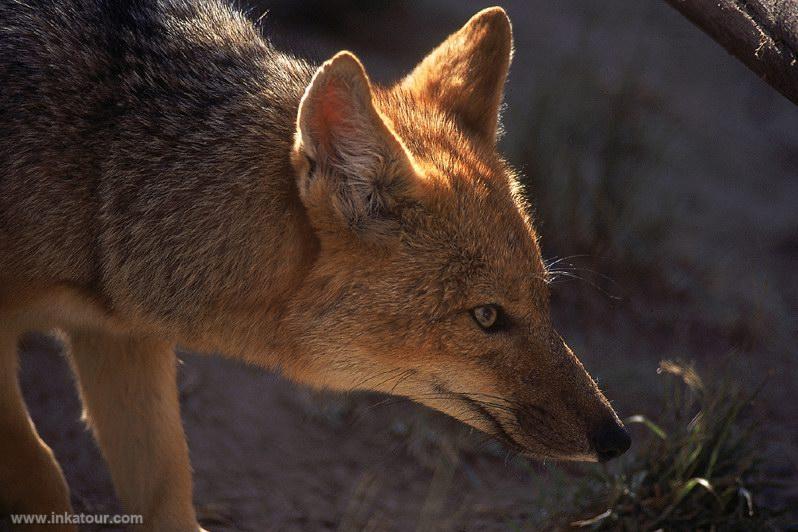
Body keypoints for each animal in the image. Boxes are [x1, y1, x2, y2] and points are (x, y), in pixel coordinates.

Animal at [3, 0, 636, 528]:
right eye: (486, 317)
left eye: (544, 300)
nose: (617, 438)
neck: (103, 179)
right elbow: (44, 475)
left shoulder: (119, 337)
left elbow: (167, 489)